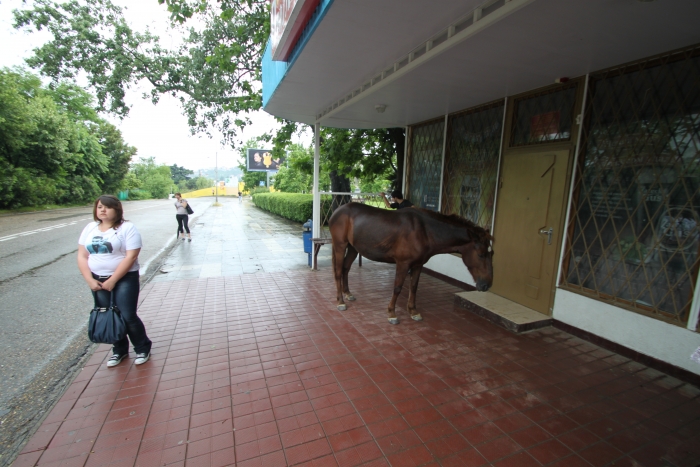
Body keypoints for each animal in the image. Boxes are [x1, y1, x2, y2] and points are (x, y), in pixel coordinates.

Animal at [330, 205, 494, 326]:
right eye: (481, 254)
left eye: (491, 253)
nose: (486, 285)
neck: (425, 231)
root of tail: (338, 211)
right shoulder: (403, 264)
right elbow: (397, 287)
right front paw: (392, 313)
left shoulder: (418, 265)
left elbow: (414, 287)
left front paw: (413, 311)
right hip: (340, 246)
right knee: (338, 272)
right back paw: (340, 301)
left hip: (353, 248)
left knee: (345, 269)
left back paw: (348, 293)